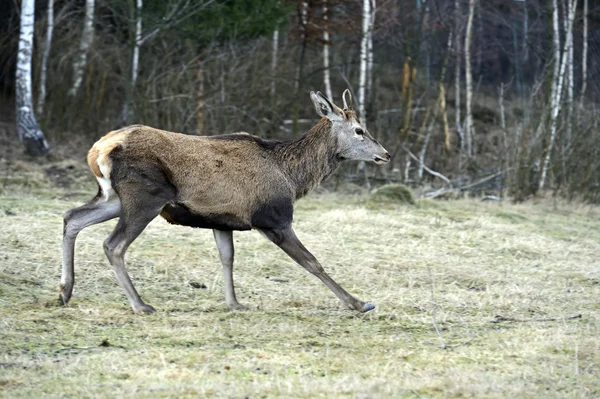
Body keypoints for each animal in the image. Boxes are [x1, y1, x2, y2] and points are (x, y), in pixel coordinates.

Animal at [59, 89, 390, 314]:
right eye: (359, 130)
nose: (385, 154)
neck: (293, 177)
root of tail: (99, 148)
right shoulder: (274, 218)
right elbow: (312, 262)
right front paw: (358, 303)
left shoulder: (222, 220)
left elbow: (227, 258)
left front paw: (234, 302)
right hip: (145, 195)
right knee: (113, 244)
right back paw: (140, 304)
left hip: (113, 197)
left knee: (72, 216)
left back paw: (65, 290)